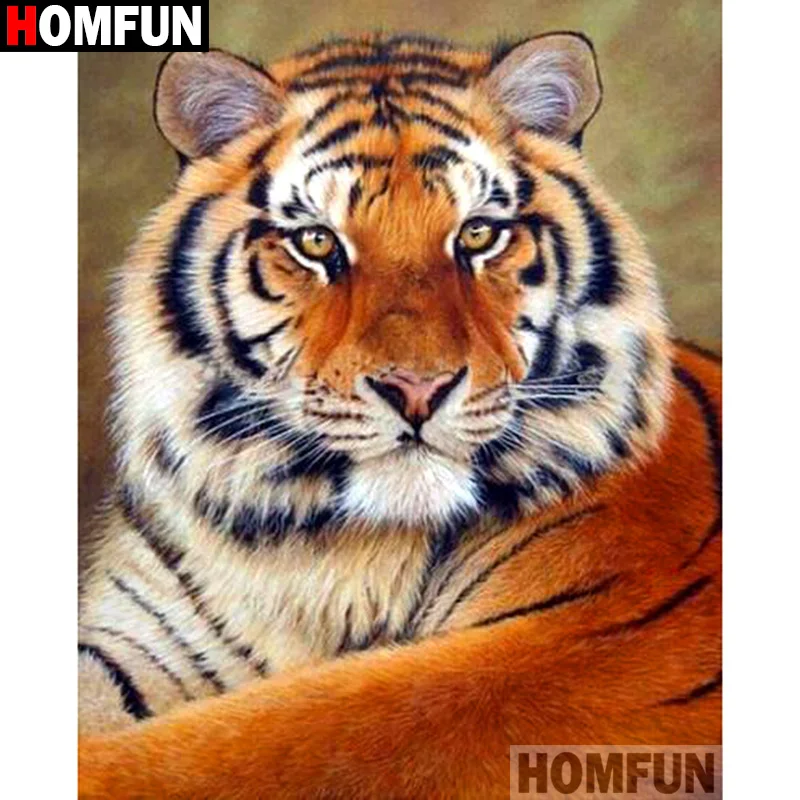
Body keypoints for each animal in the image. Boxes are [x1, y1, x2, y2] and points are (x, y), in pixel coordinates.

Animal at [78, 32, 721, 798]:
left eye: (477, 235)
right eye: (317, 242)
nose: (417, 388)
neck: (318, 549)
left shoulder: (574, 645)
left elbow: (263, 741)